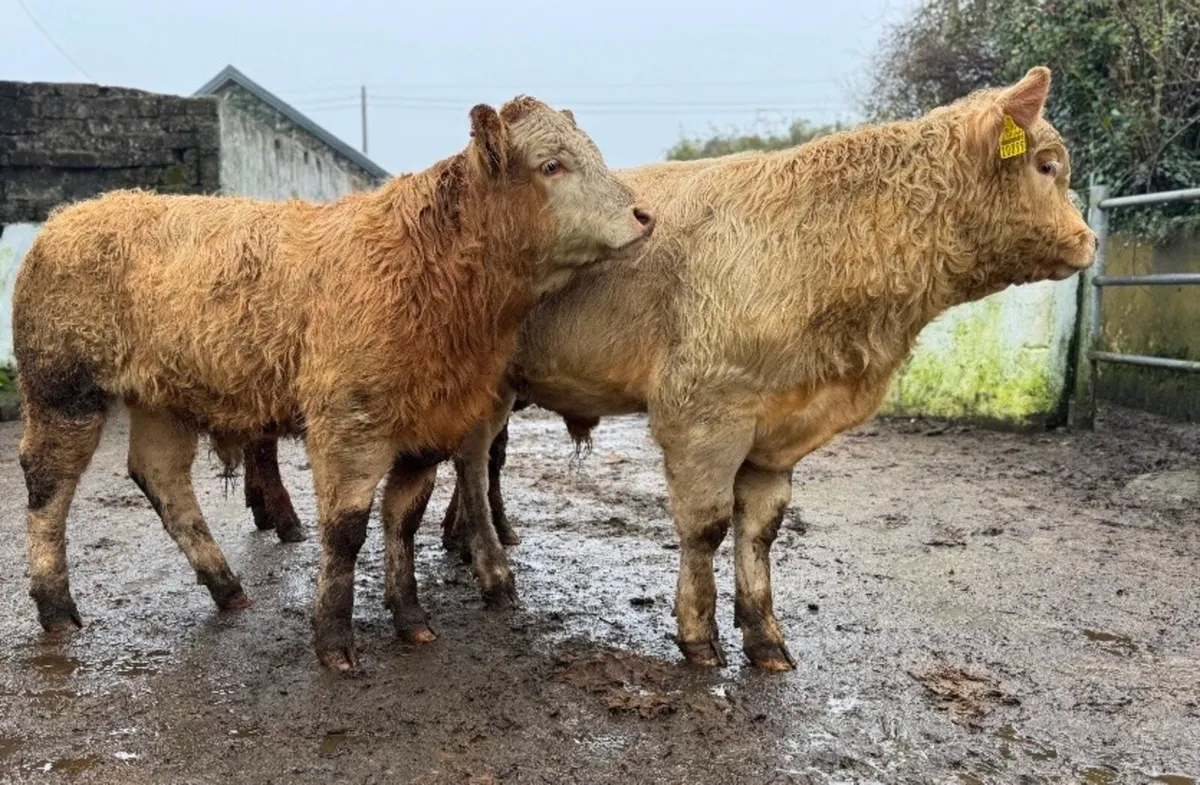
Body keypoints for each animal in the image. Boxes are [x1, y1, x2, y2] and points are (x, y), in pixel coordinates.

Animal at [12, 95, 654, 672]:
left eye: (593, 153)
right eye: (552, 164)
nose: (645, 215)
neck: (427, 267)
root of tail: (71, 215)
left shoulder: (427, 427)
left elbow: (403, 522)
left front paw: (411, 619)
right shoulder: (347, 426)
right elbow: (346, 533)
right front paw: (334, 640)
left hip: (163, 399)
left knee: (162, 478)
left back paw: (226, 587)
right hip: (63, 390)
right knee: (47, 486)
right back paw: (56, 608)